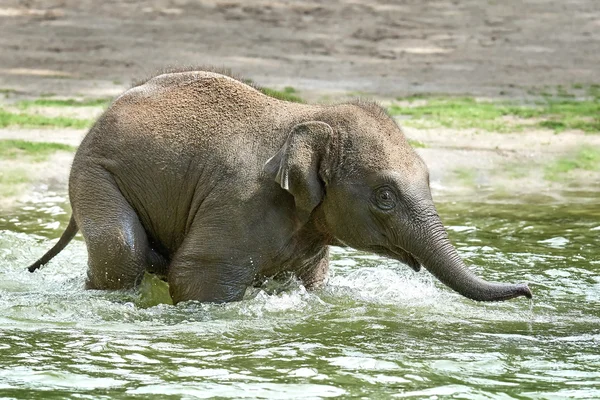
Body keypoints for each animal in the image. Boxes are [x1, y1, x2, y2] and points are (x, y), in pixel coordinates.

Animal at [25, 67, 532, 304]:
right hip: (94, 175)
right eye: (385, 197)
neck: (310, 115)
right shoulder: (241, 203)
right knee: (121, 249)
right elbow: (196, 276)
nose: (528, 291)